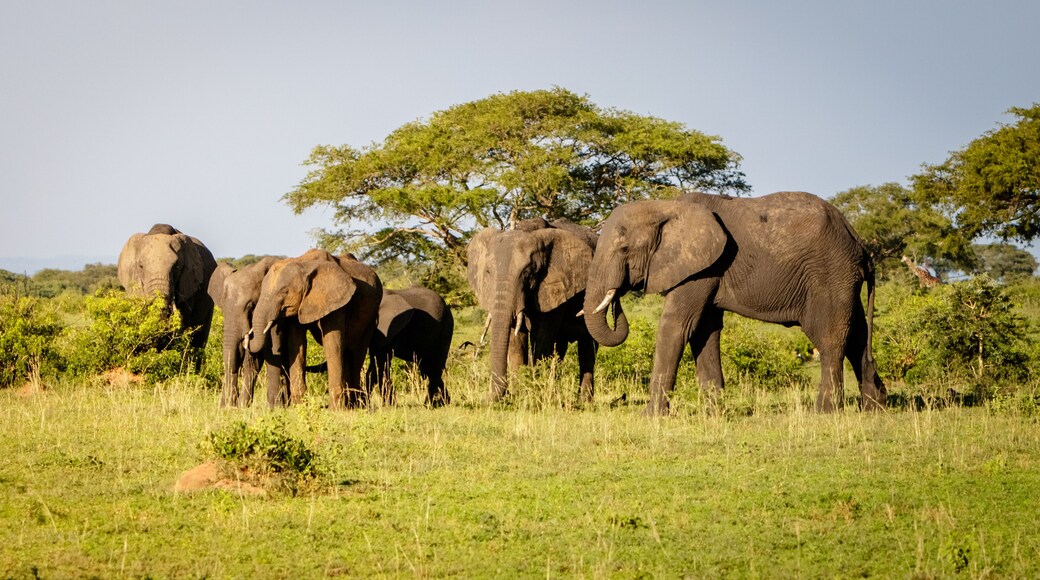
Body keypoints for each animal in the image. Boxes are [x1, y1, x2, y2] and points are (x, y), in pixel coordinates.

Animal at [248, 249, 382, 409]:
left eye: (285, 291)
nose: (247, 337)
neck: (305, 263)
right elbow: (297, 344)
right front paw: (299, 407)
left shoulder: (337, 300)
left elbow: (332, 344)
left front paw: (335, 411)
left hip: (371, 317)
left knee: (356, 353)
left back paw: (357, 406)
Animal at [467, 218, 598, 402]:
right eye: (488, 272)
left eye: (528, 274)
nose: (485, 399)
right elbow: (515, 339)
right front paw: (520, 395)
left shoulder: (555, 286)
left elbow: (543, 336)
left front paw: (534, 394)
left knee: (587, 346)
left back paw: (584, 402)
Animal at [583, 191, 885, 415]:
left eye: (624, 249)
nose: (616, 299)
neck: (665, 207)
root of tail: (859, 242)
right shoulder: (706, 268)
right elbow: (704, 330)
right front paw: (713, 413)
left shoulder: (702, 267)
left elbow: (677, 325)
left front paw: (651, 416)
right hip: (843, 278)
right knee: (857, 335)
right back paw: (875, 407)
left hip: (830, 274)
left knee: (830, 337)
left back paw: (824, 411)